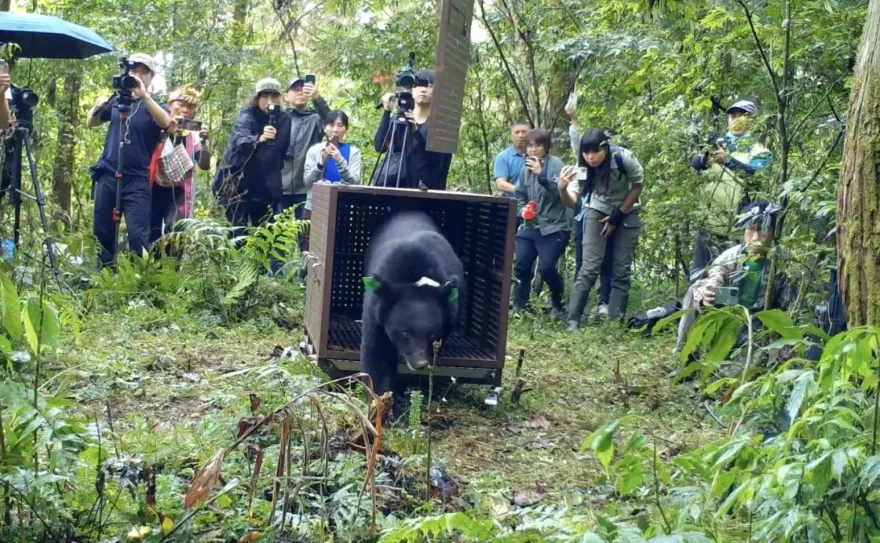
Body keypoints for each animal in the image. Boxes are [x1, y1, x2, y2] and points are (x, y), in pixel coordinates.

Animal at [359, 211, 465, 414]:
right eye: (404, 332)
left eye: (432, 334)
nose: (419, 363)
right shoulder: (375, 309)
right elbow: (376, 355)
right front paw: (383, 407)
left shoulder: (449, 313)